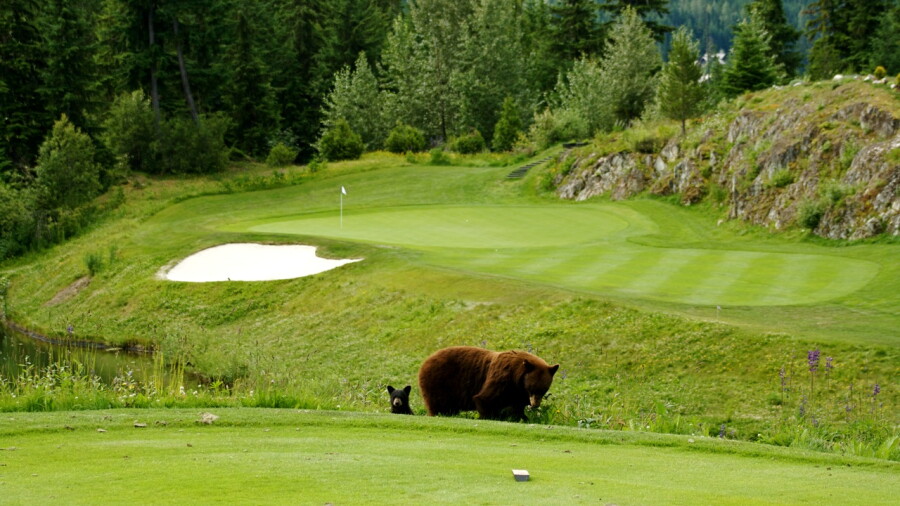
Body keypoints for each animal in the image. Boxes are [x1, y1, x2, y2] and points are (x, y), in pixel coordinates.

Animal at [418, 346, 559, 421]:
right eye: (532, 388)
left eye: (543, 389)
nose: (535, 404)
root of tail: (426, 361)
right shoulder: (502, 378)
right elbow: (485, 398)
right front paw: (490, 417)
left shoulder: (517, 391)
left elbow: (517, 407)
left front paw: (523, 418)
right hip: (439, 383)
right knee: (438, 405)